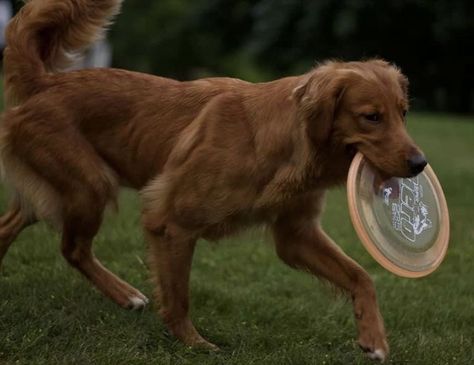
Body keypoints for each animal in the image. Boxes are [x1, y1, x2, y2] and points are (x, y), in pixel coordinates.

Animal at [0, 0, 430, 360]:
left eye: (403, 113)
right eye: (371, 117)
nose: (420, 163)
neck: (281, 144)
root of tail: (47, 82)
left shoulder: (297, 234)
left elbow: (362, 276)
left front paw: (374, 338)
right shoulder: (172, 222)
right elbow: (178, 297)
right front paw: (193, 343)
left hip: (62, 189)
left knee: (13, 225)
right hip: (92, 184)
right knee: (72, 248)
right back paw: (127, 295)